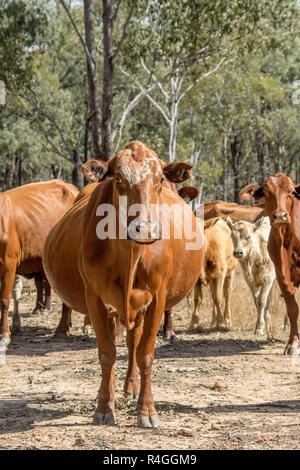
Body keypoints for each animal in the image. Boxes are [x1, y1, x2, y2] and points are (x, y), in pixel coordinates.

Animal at [43, 141, 205, 428]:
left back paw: (131, 388)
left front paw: (147, 410)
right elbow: (106, 353)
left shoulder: (157, 298)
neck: (129, 256)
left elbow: (145, 354)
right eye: (118, 179)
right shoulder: (95, 299)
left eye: (160, 179)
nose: (146, 229)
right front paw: (104, 407)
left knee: (132, 342)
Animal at [239, 174, 300, 354]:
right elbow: (293, 308)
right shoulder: (280, 274)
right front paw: (293, 344)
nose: (280, 216)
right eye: (266, 192)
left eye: (291, 192)